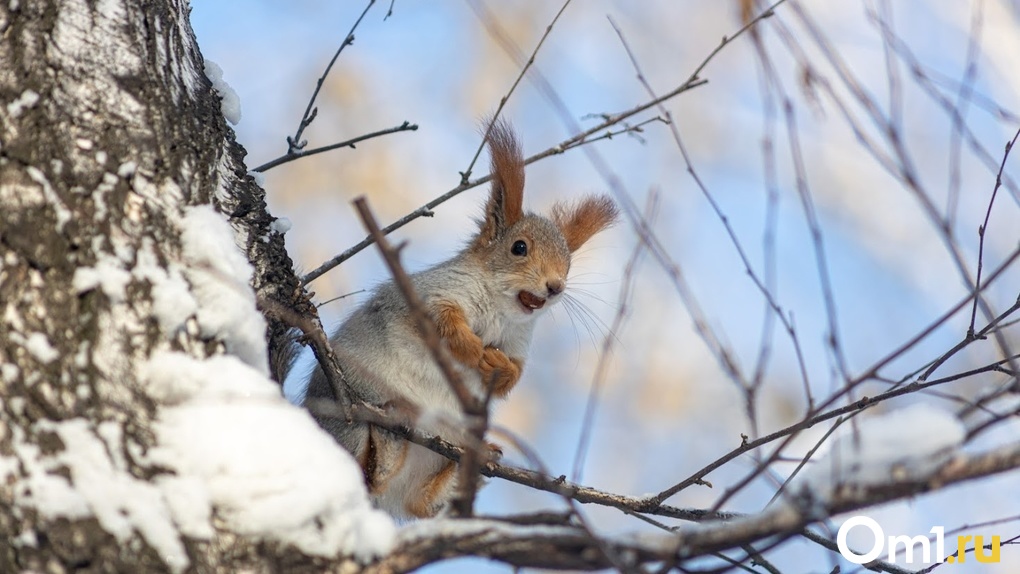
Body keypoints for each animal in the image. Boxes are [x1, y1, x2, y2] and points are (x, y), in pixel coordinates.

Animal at [301, 119, 616, 517]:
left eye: (568, 264)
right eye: (519, 248)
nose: (556, 286)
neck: (501, 311)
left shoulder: (519, 339)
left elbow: (515, 373)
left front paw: (498, 367)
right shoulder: (433, 293)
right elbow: (444, 319)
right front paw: (472, 350)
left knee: (417, 501)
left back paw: (467, 467)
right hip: (350, 408)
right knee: (366, 468)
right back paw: (389, 438)